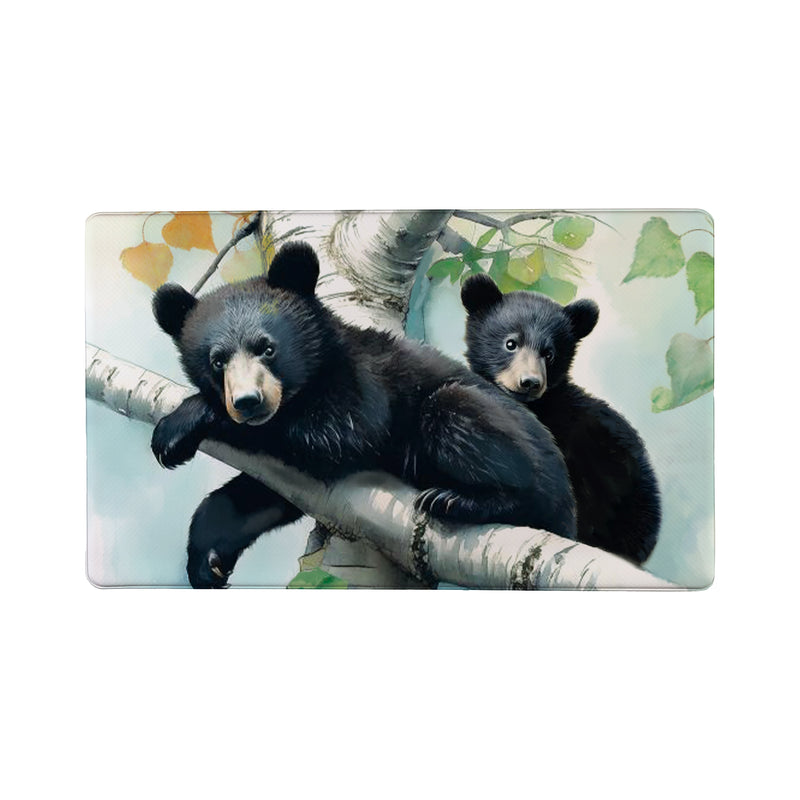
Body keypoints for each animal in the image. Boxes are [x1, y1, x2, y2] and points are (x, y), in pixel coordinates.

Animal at [151, 242, 577, 587]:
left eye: (268, 349)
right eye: (217, 361)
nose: (248, 402)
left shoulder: (367, 384)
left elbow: (338, 435)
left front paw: (178, 426)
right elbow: (261, 493)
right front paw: (208, 558)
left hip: (497, 438)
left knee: (463, 421)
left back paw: (456, 499)